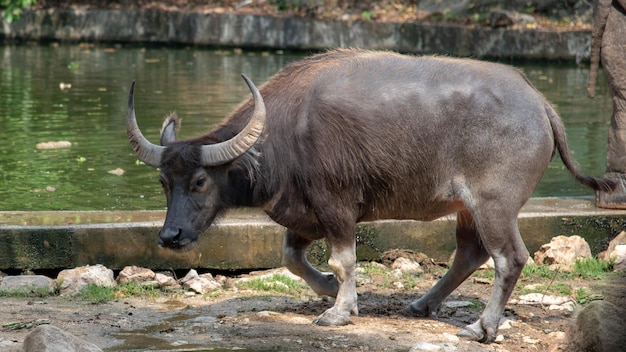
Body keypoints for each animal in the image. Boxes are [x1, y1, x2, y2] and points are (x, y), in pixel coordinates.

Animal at [124, 48, 612, 342]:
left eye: (200, 181)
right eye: (164, 182)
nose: (169, 236)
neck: (285, 134)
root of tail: (539, 103)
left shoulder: (336, 207)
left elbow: (343, 260)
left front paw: (339, 311)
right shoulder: (305, 214)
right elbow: (291, 257)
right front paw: (326, 289)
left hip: (495, 206)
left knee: (508, 258)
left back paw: (481, 327)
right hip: (466, 209)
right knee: (469, 254)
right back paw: (422, 304)